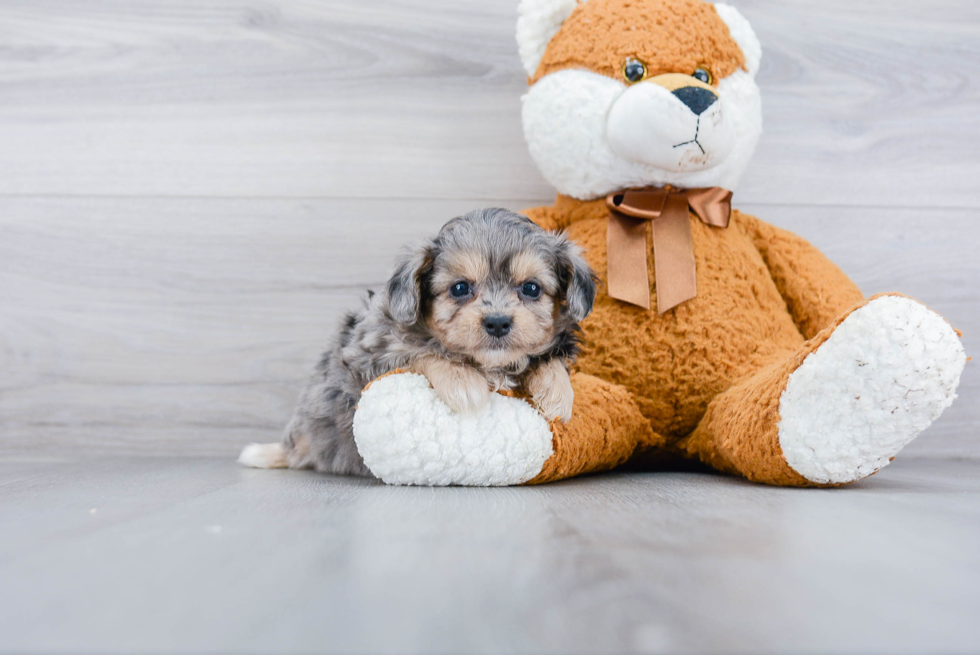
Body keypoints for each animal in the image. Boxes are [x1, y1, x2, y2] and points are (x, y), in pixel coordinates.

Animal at [241, 209, 600, 476]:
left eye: (531, 288)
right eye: (459, 288)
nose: (497, 322)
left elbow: (552, 359)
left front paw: (557, 393)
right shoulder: (372, 353)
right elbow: (421, 351)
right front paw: (462, 382)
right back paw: (263, 453)